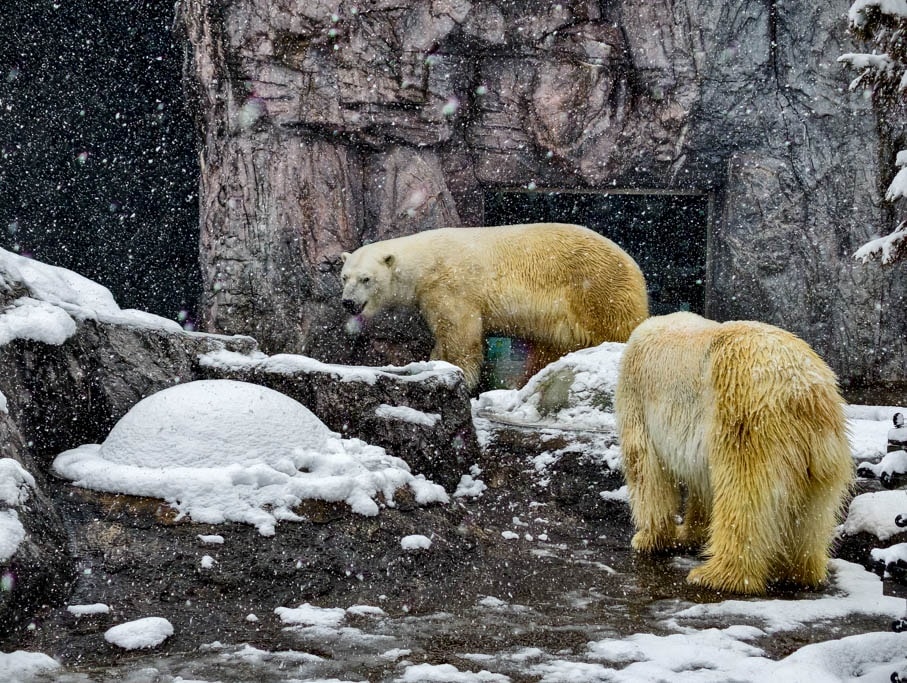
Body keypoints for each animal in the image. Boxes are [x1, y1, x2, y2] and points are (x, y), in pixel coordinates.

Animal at [340, 222, 649, 391]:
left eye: (366, 278)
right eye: (344, 276)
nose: (348, 302)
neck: (425, 263)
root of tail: (633, 264)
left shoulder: (452, 287)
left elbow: (460, 336)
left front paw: (457, 374)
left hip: (596, 289)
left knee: (617, 325)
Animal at [614, 311, 853, 595]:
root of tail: (806, 395)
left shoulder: (635, 390)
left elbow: (645, 468)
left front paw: (648, 537)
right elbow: (702, 485)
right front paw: (689, 533)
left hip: (744, 417)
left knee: (743, 496)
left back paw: (716, 575)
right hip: (822, 457)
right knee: (811, 513)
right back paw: (798, 572)